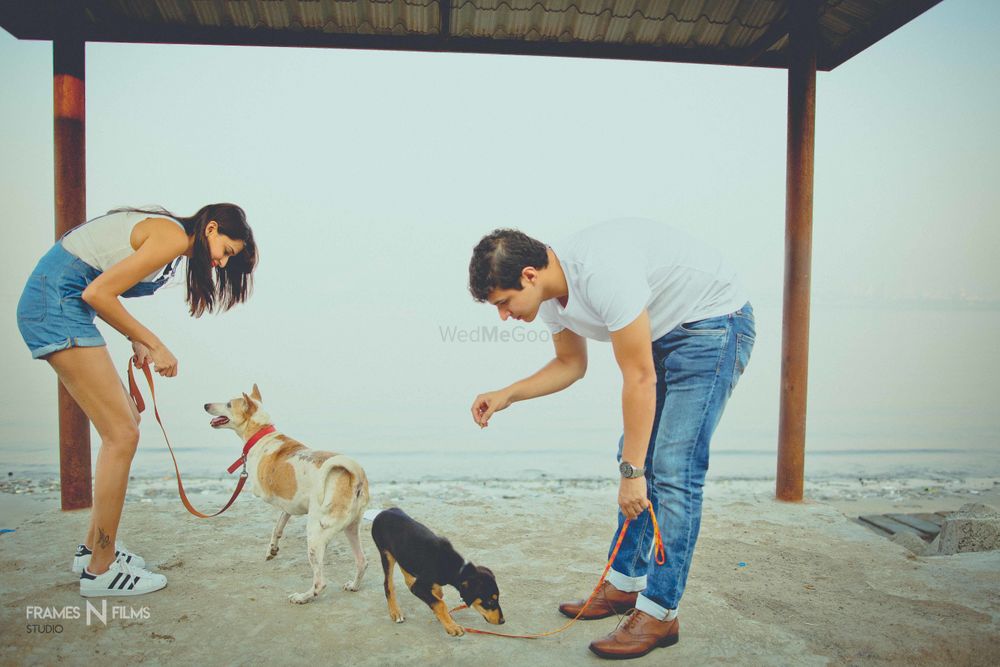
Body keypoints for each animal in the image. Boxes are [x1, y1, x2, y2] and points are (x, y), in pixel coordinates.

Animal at [204, 380, 372, 604]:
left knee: (320, 582)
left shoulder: (262, 490)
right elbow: (278, 525)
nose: (205, 405)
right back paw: (354, 585)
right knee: (362, 561)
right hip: (351, 527)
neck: (261, 433)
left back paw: (303, 597)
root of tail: (355, 474)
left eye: (229, 404)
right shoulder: (290, 505)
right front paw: (272, 548)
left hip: (316, 532)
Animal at [372, 506, 504, 636]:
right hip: (386, 554)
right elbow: (440, 603)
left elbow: (438, 596)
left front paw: (444, 618)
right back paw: (395, 612)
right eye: (490, 601)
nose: (502, 621)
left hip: (402, 554)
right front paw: (452, 626)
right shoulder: (419, 587)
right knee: (388, 584)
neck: (454, 566)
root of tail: (384, 511)